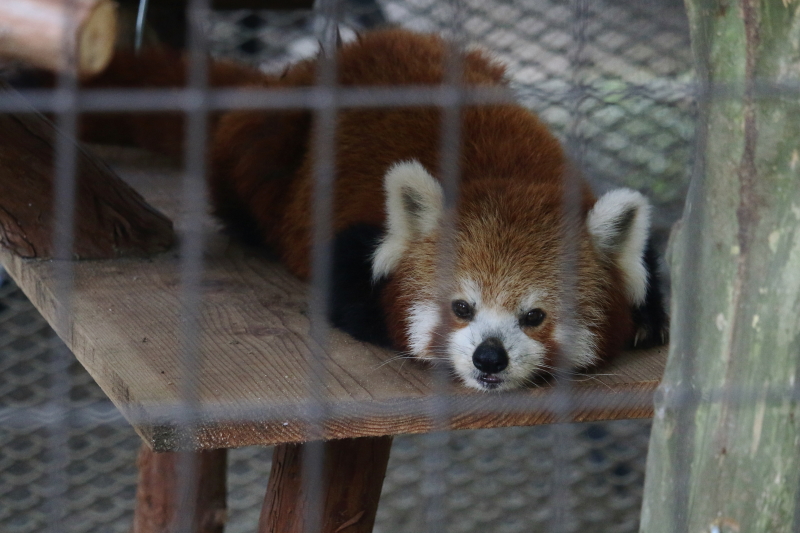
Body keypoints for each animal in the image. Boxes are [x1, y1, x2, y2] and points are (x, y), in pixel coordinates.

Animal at [75, 27, 664, 390]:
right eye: (461, 308)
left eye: (534, 316)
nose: (488, 357)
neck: (510, 175)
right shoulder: (355, 239)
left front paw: (648, 321)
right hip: (266, 147)